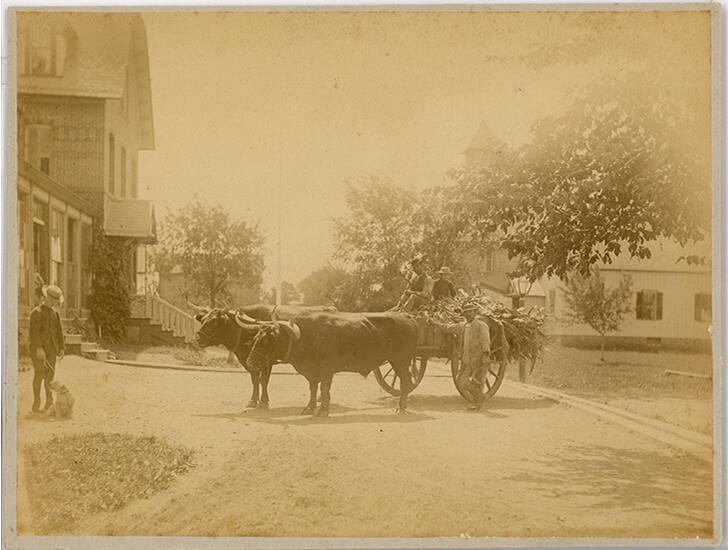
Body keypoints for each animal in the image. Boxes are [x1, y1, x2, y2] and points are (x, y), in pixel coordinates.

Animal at [245, 311, 418, 417]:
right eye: (256, 338)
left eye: (266, 340)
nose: (250, 362)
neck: (306, 336)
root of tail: (407, 318)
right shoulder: (313, 373)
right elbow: (313, 389)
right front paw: (309, 408)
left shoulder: (326, 371)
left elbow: (324, 389)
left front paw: (323, 410)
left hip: (400, 361)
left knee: (405, 383)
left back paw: (401, 408)